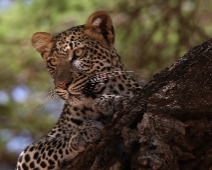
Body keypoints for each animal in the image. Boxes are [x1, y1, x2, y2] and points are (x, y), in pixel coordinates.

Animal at [16, 10, 142, 170]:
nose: (62, 84)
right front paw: (82, 132)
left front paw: (110, 101)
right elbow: (52, 145)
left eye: (78, 52)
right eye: (53, 62)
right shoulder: (27, 155)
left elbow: (134, 96)